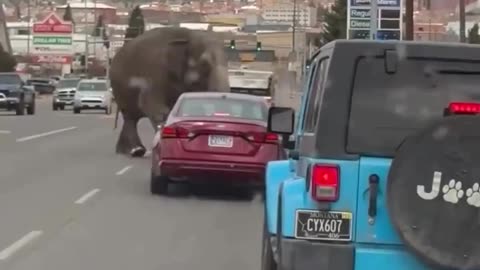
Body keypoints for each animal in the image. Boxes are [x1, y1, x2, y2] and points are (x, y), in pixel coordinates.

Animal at [109, 26, 230, 157]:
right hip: (120, 89)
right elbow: (156, 108)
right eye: (204, 63)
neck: (188, 34)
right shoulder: (154, 74)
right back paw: (135, 151)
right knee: (130, 118)